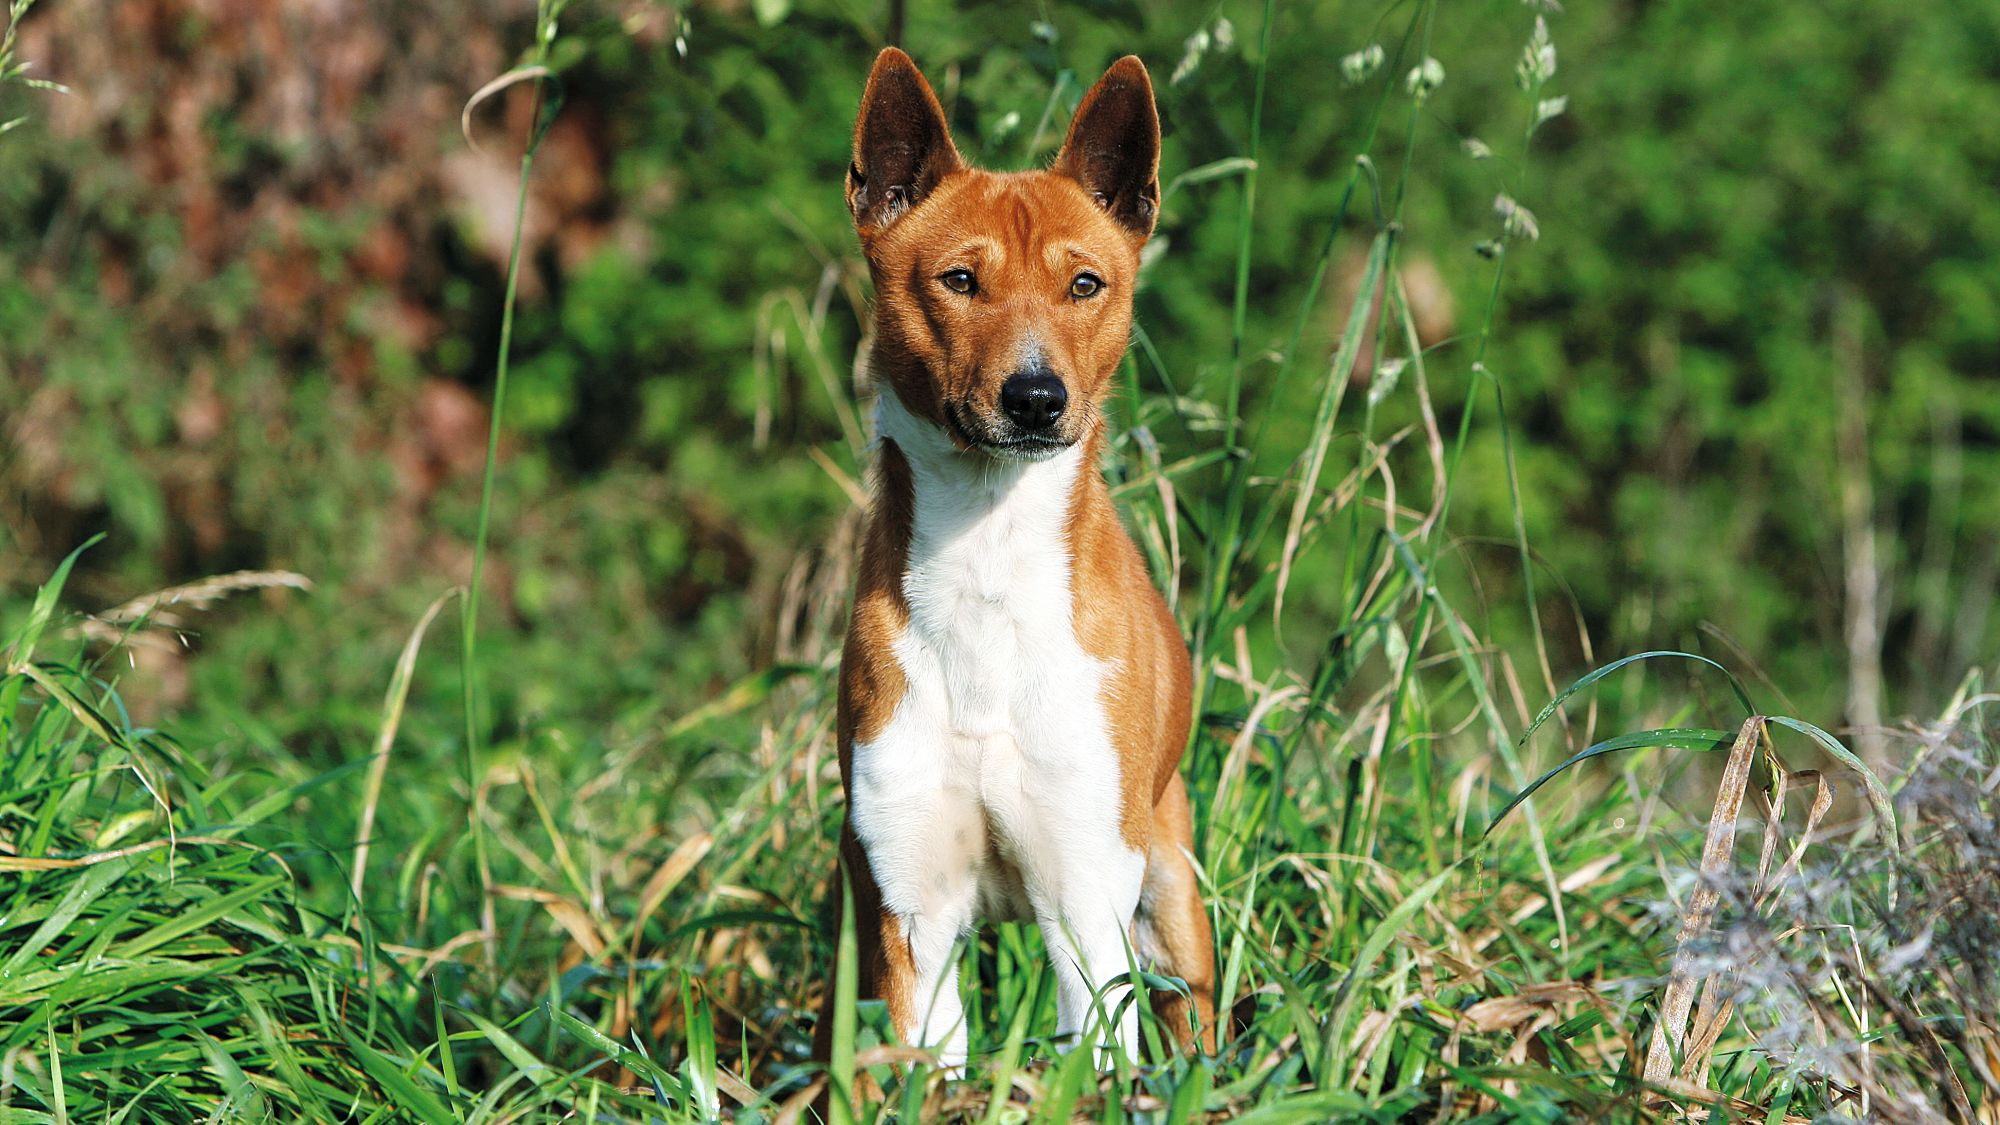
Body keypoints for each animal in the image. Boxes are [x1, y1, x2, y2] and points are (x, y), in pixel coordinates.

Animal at [812, 48, 1216, 1072]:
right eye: (959, 280)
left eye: (1085, 285)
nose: (1036, 396)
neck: (987, 573)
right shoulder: (912, 914)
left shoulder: (1086, 907)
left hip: (1169, 900)